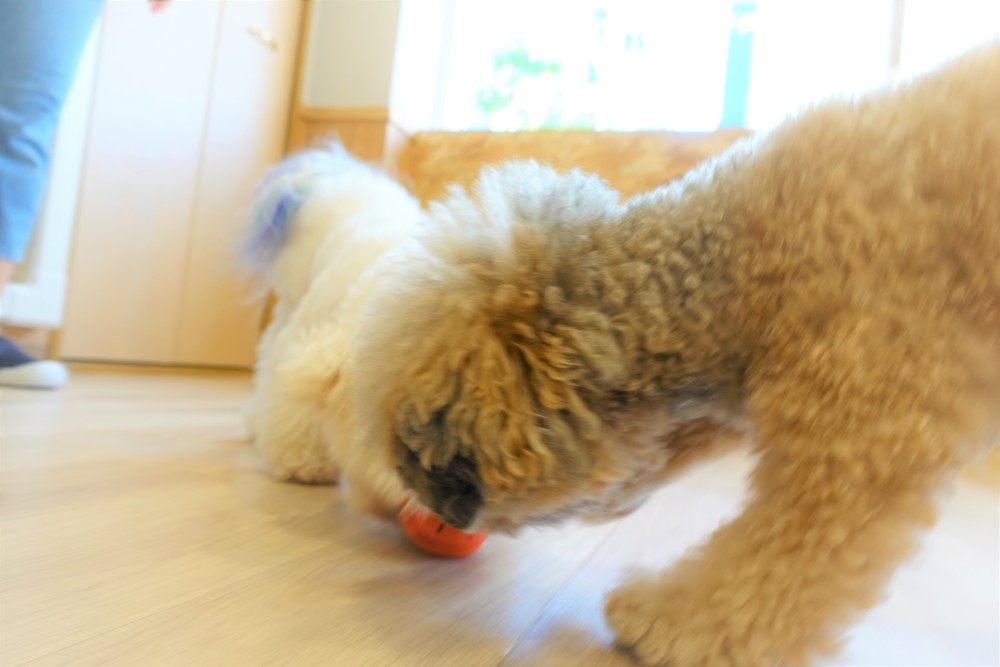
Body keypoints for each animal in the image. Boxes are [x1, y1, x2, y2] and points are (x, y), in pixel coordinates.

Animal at [245, 42, 999, 667]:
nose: (430, 511)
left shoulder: (862, 440)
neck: (741, 269)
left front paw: (672, 627)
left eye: (415, 450)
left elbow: (774, 565)